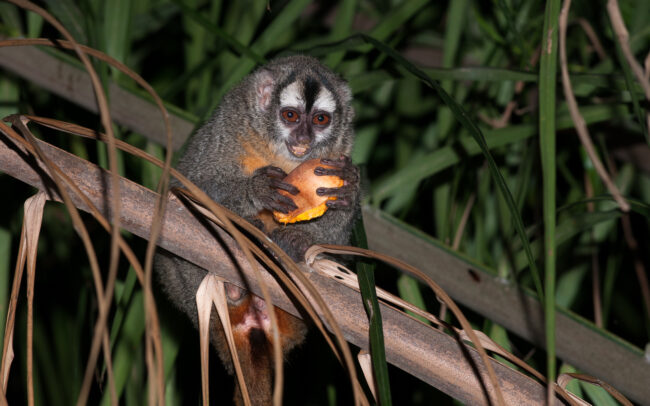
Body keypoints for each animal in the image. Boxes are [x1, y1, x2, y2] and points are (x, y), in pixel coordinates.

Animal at [155, 55, 360, 405]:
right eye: (290, 116)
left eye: (320, 119)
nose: (303, 139)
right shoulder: (227, 127)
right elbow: (190, 187)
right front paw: (258, 190)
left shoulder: (340, 152)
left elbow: (336, 248)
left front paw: (345, 193)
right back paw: (234, 281)